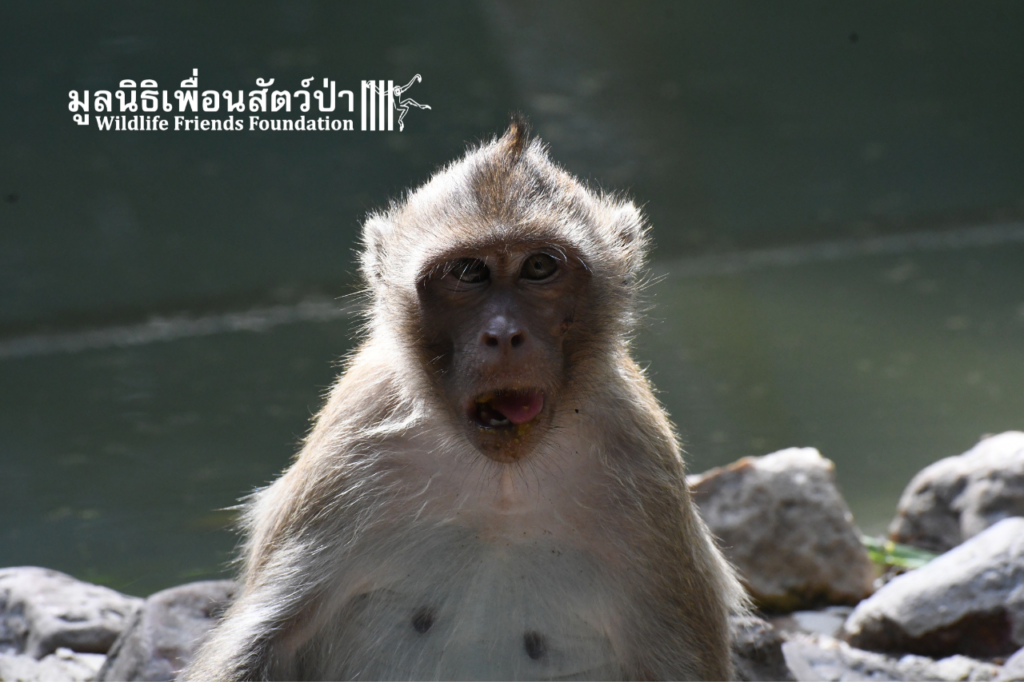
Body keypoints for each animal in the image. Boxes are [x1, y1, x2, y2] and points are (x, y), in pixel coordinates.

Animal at [182, 117, 747, 681]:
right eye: (469, 272)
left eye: (539, 267)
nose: (504, 334)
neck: (502, 482)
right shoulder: (350, 445)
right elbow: (260, 643)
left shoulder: (646, 470)